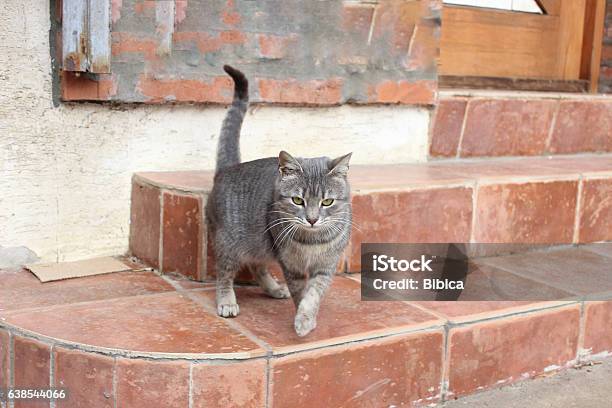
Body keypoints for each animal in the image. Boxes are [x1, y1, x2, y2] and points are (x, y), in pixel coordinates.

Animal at [206, 65, 352, 336]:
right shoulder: (290, 264)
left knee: (257, 267)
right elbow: (300, 292)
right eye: (298, 200)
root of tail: (228, 169)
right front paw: (302, 320)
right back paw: (227, 301)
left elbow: (314, 294)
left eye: (327, 202)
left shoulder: (325, 266)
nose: (312, 219)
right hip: (230, 243)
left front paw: (307, 318)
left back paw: (273, 289)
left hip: (262, 244)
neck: (312, 241)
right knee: (224, 274)